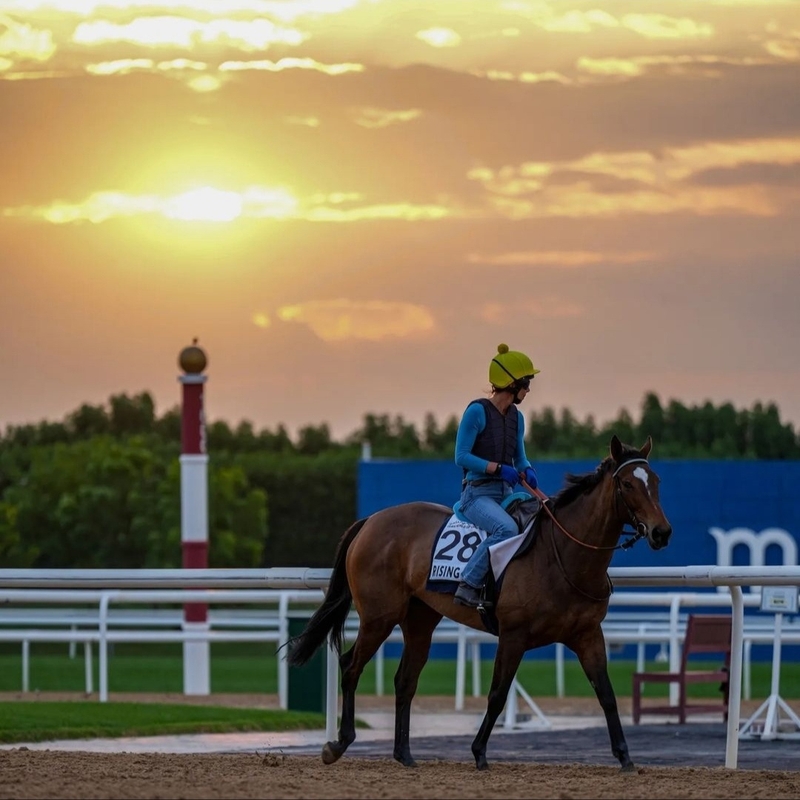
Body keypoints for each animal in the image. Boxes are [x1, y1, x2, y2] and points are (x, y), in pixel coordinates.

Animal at [284, 434, 672, 772]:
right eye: (627, 485)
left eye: (654, 481)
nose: (661, 532)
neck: (562, 554)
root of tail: (370, 522)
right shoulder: (514, 635)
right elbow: (497, 694)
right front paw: (479, 752)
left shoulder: (587, 635)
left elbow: (606, 694)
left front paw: (625, 757)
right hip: (379, 616)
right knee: (351, 665)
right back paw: (338, 743)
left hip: (419, 620)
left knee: (405, 680)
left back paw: (404, 754)